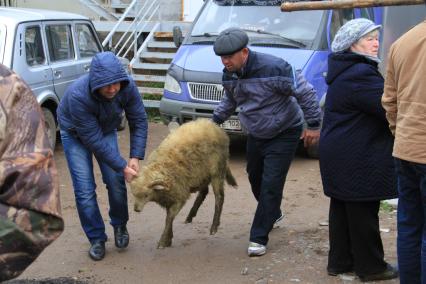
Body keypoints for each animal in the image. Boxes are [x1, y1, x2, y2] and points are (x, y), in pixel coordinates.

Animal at [131, 118, 236, 247]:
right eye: (134, 194)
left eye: (146, 195)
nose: (136, 209)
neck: (162, 167)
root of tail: (214, 125)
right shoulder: (171, 196)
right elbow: (168, 216)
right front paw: (169, 238)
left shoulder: (179, 196)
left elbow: (169, 218)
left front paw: (163, 241)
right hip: (202, 174)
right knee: (204, 192)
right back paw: (190, 216)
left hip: (217, 170)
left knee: (219, 197)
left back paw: (214, 227)